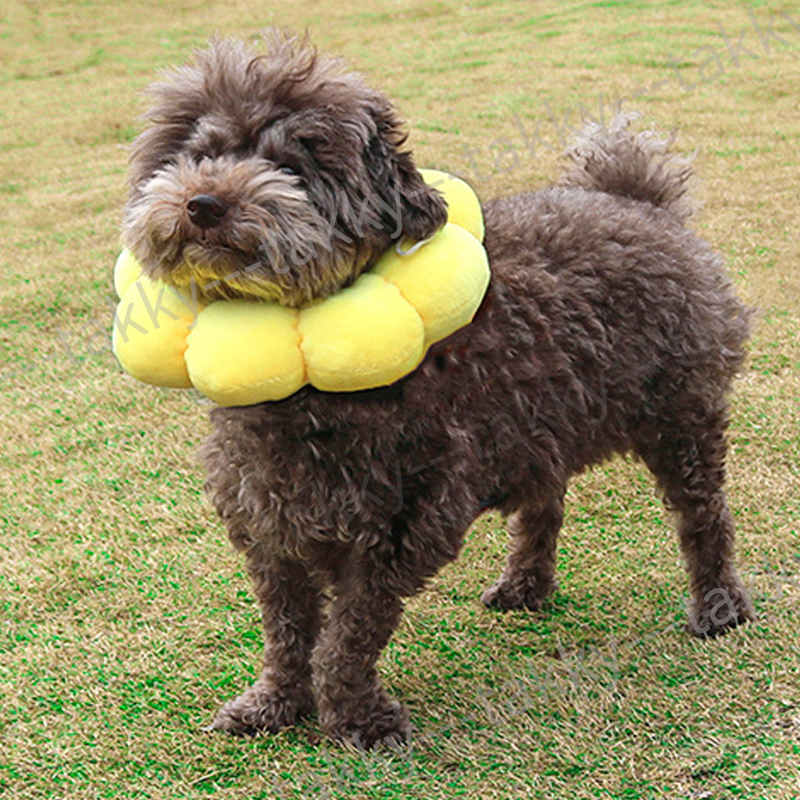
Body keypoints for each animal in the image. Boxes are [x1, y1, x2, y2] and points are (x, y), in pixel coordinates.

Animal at [122, 29, 752, 744]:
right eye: (199, 154)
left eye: (290, 165)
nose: (203, 204)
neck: (302, 401)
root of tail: (637, 199)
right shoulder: (269, 523)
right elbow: (285, 630)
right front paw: (273, 705)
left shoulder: (405, 522)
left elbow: (349, 634)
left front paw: (355, 718)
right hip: (538, 426)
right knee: (546, 502)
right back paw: (525, 587)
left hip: (682, 413)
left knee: (704, 515)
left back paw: (719, 606)